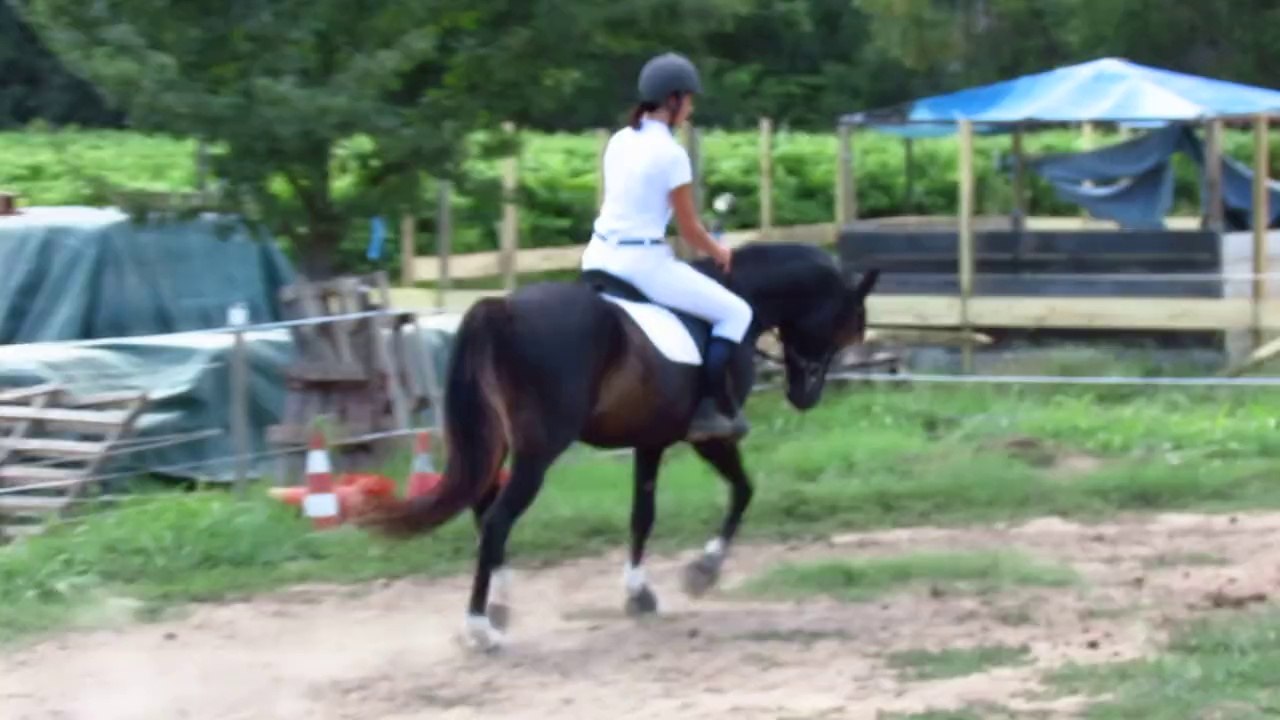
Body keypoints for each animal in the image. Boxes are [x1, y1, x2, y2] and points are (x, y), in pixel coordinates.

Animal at [362, 241, 880, 651]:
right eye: (848, 322)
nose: (806, 395)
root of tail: (501, 309)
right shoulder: (709, 437)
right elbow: (743, 490)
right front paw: (703, 571)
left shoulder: (649, 440)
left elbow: (642, 515)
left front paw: (639, 593)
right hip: (537, 453)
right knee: (495, 522)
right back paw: (480, 629)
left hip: (498, 444)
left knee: (483, 510)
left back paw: (500, 607)